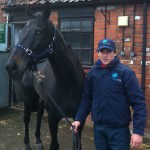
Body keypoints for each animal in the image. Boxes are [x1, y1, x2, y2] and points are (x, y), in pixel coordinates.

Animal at [5, 8, 85, 150]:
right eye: (22, 31)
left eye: (38, 32)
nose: (11, 66)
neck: (69, 83)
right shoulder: (53, 118)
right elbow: (54, 145)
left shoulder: (79, 121)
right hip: (28, 98)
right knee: (27, 118)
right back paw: (27, 144)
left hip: (41, 98)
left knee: (39, 115)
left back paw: (38, 140)